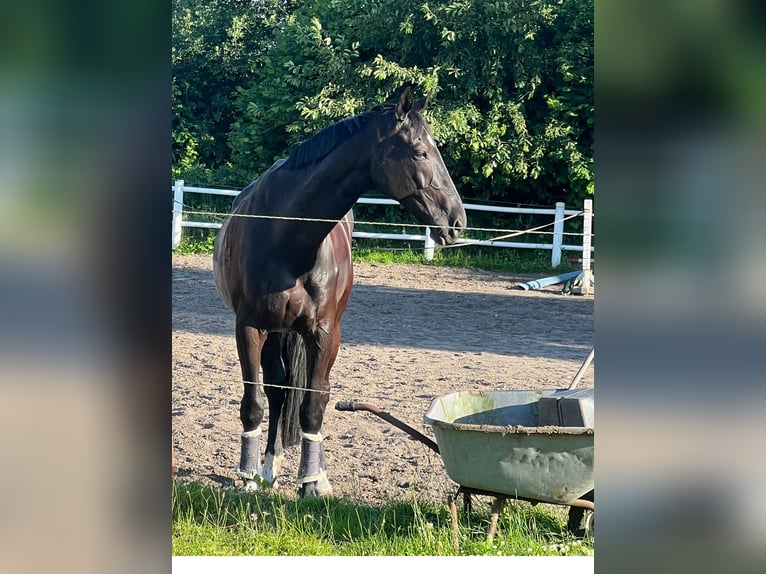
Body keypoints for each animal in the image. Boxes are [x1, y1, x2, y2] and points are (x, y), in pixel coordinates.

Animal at [216, 89, 468, 500]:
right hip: (278, 332)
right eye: (419, 152)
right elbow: (254, 402)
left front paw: (310, 484)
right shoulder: (249, 328)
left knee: (312, 396)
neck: (287, 236)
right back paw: (269, 466)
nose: (457, 222)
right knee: (278, 390)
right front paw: (249, 478)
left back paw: (316, 473)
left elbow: (314, 406)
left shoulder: (324, 333)